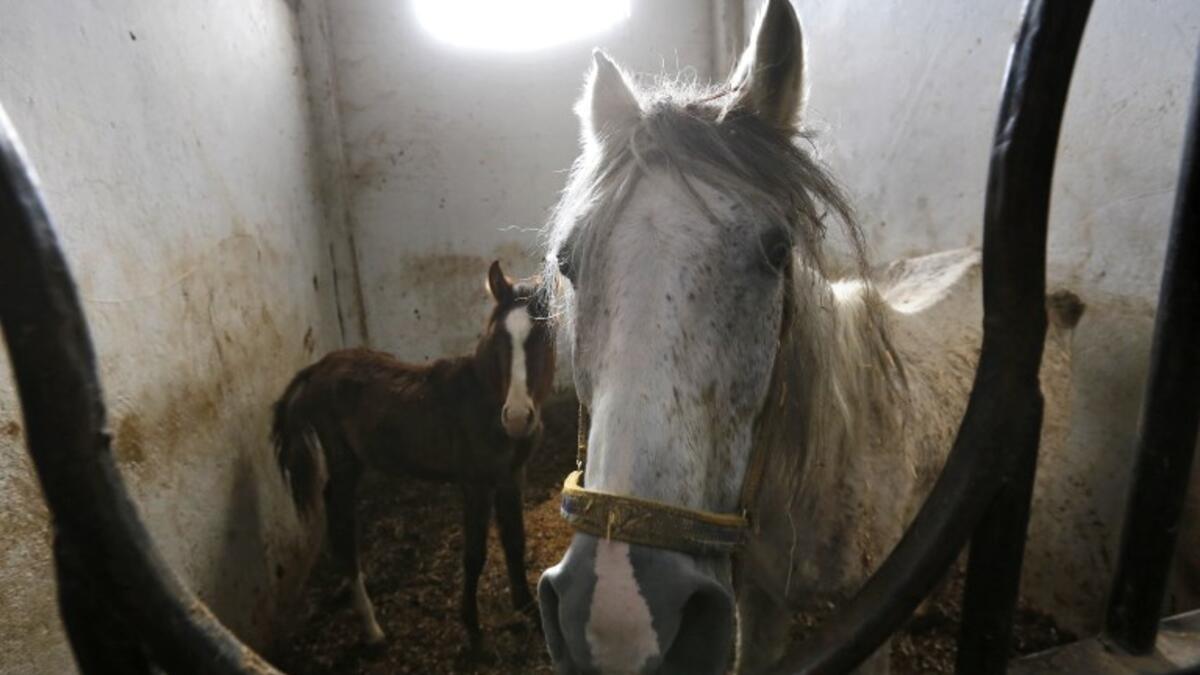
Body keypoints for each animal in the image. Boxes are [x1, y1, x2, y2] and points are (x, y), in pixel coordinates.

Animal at [272, 260, 555, 656]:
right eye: (498, 338)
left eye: (542, 336)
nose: (516, 417)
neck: (484, 400)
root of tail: (317, 370)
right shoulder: (475, 483)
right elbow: (474, 554)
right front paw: (472, 627)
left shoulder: (513, 476)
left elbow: (515, 543)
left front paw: (529, 609)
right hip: (344, 463)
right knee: (341, 518)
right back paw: (372, 628)